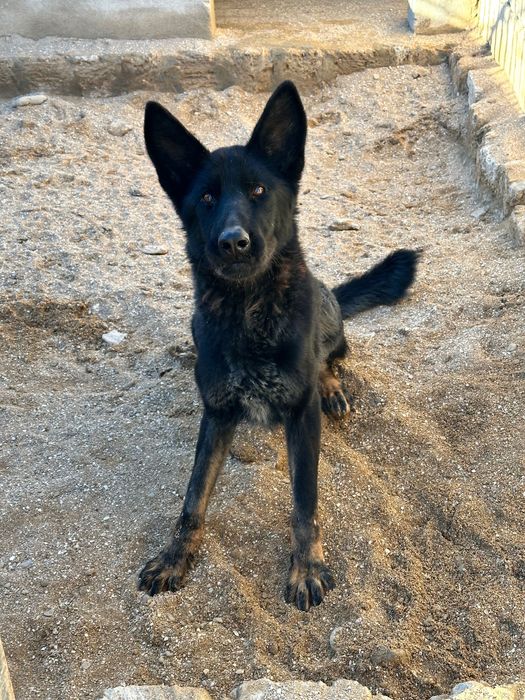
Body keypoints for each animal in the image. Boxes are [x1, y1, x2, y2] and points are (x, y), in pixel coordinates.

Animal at [138, 81, 418, 610]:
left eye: (258, 191)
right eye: (207, 197)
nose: (233, 242)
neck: (249, 312)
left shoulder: (300, 414)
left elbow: (304, 501)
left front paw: (305, 567)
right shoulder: (216, 413)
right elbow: (193, 496)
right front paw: (174, 556)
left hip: (326, 310)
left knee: (332, 356)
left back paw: (332, 385)